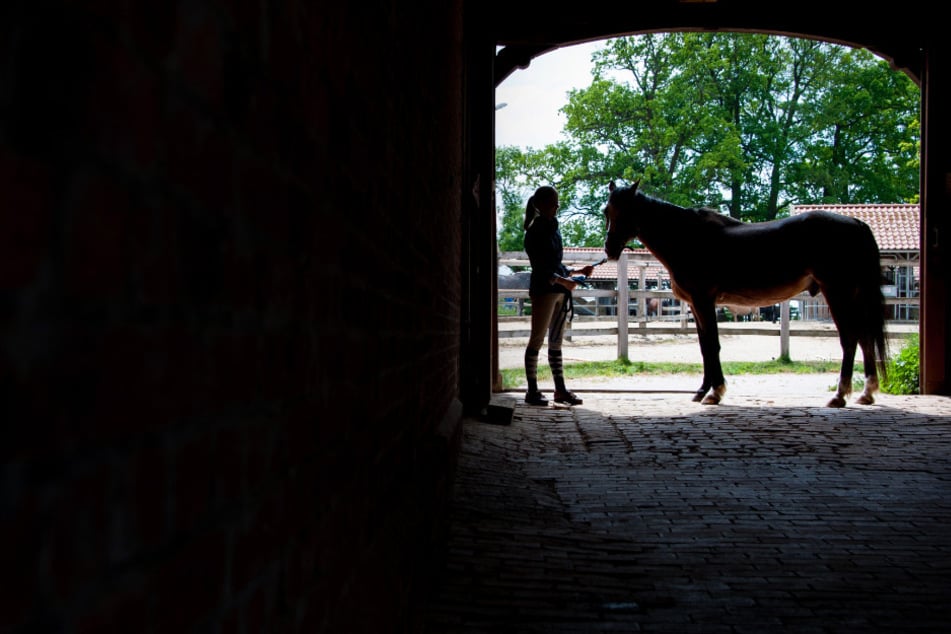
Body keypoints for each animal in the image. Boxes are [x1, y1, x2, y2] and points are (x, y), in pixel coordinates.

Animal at [608, 178, 888, 404]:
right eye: (607, 211)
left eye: (627, 211)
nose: (610, 249)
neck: (688, 238)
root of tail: (856, 223)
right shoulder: (697, 306)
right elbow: (704, 346)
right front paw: (702, 390)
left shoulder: (703, 301)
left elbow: (713, 345)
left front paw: (715, 392)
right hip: (854, 295)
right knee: (865, 339)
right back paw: (867, 393)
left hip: (838, 293)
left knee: (850, 339)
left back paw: (839, 395)